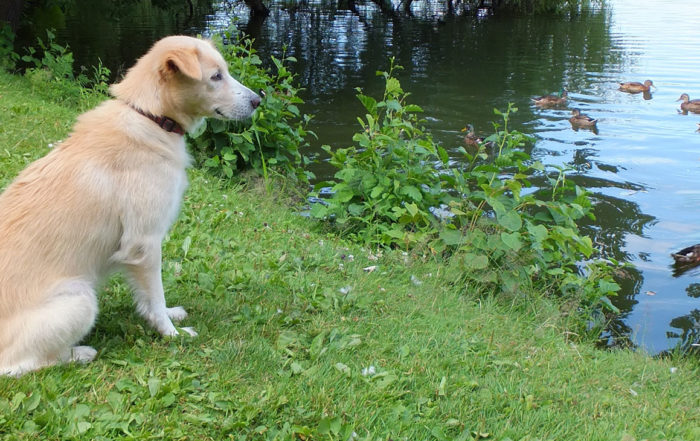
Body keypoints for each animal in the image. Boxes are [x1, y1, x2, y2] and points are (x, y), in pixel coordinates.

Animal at [0, 36, 262, 376]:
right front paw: (172, 334)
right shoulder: (144, 243)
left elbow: (153, 300)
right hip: (81, 299)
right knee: (19, 365)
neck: (150, 117)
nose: (258, 100)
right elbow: (155, 295)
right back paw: (80, 353)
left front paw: (168, 316)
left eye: (225, 72)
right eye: (216, 76)